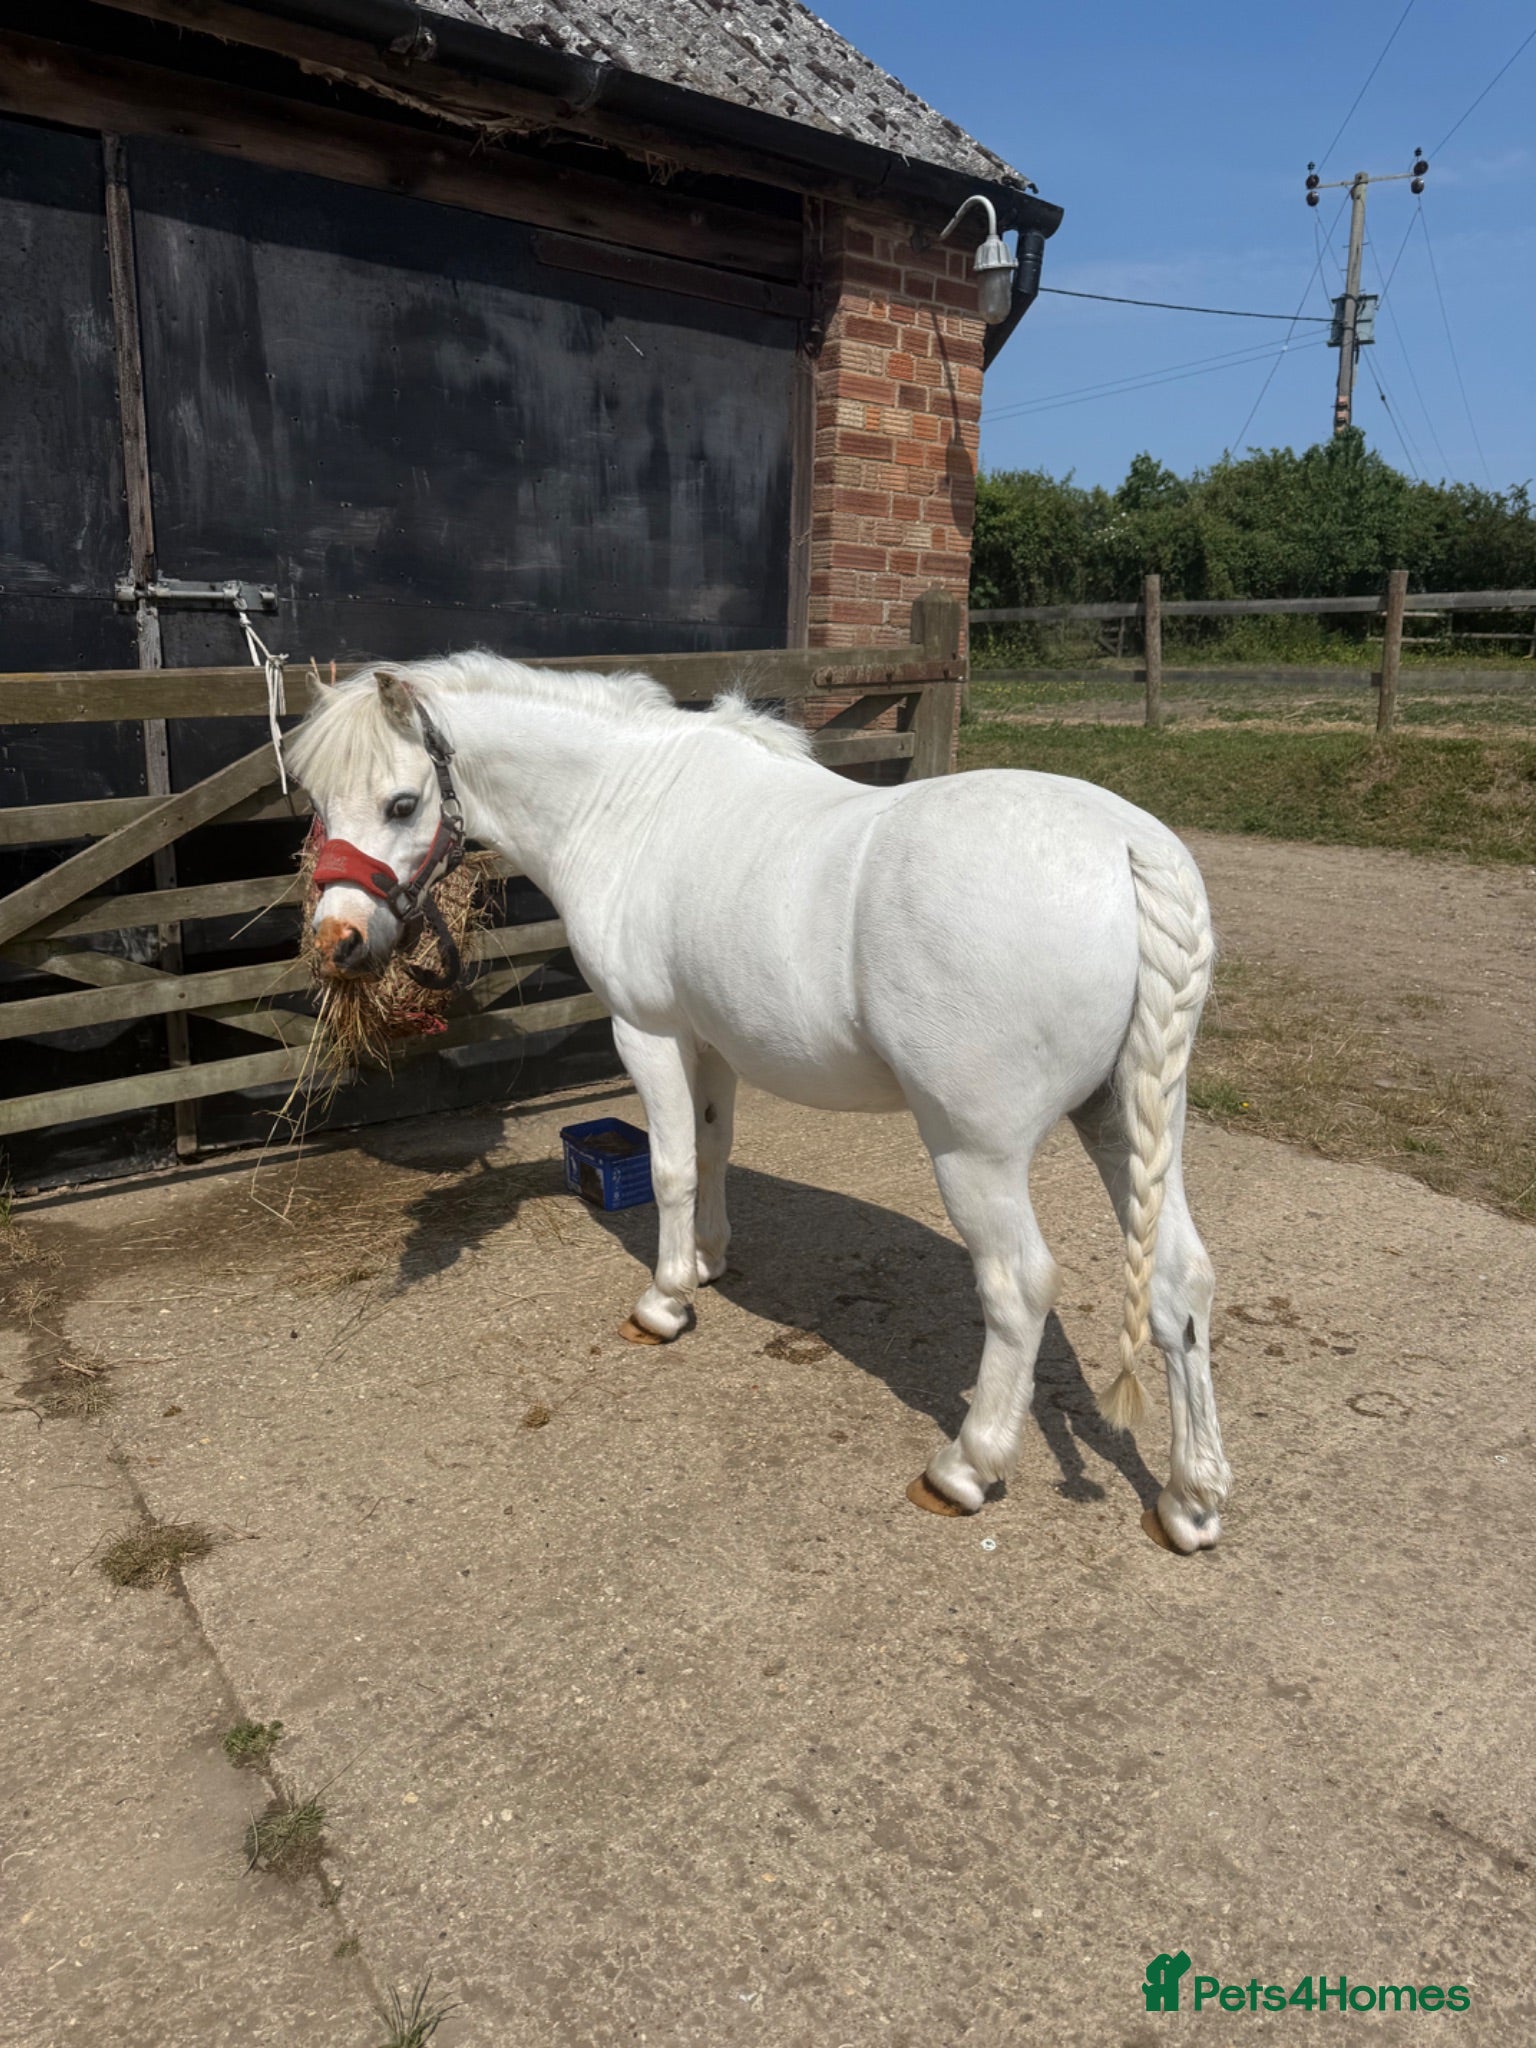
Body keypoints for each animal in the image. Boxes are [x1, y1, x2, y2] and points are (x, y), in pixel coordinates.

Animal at [285, 655, 1232, 1551]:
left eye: (403, 803)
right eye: (321, 803)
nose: (337, 941)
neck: (625, 806)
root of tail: (1127, 851)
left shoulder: (649, 1032)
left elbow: (669, 1167)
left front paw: (665, 1302)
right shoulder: (714, 1043)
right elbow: (712, 1149)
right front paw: (708, 1257)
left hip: (976, 1152)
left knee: (1019, 1286)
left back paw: (965, 1467)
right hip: (1128, 1119)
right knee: (1180, 1282)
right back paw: (1190, 1499)